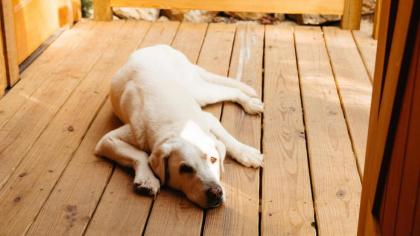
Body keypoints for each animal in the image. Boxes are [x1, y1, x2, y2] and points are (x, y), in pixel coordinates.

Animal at [97, 44, 264, 208]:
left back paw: (250, 103)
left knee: (230, 90)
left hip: (199, 91)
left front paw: (246, 152)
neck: (177, 124)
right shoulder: (108, 140)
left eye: (213, 159)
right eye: (185, 169)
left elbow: (227, 139)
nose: (216, 192)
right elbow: (140, 155)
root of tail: (156, 46)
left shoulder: (208, 119)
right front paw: (147, 179)